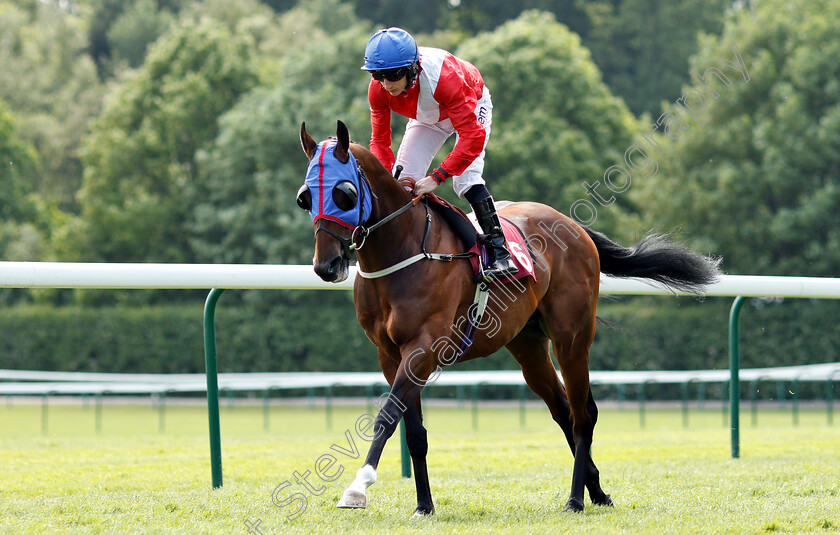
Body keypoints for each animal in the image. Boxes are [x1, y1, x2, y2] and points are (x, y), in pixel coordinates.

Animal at [296, 120, 720, 516]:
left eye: (344, 193)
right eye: (305, 197)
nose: (326, 266)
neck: (401, 252)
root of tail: (573, 225)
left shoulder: (423, 347)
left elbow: (386, 416)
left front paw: (357, 487)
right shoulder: (389, 354)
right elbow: (412, 429)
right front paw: (424, 505)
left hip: (572, 337)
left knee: (583, 415)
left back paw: (575, 499)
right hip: (528, 344)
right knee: (564, 410)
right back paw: (597, 491)